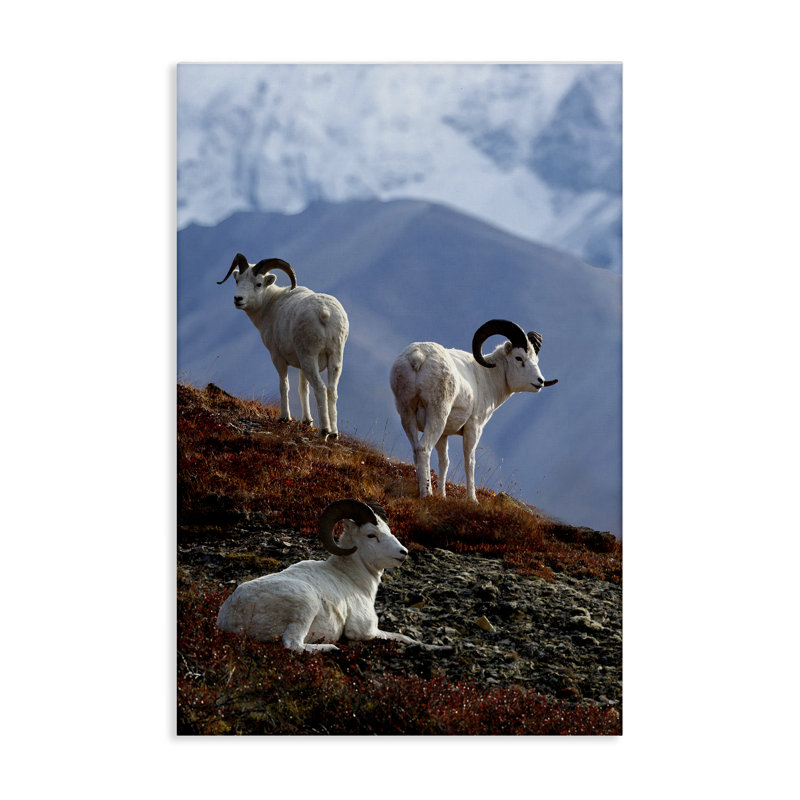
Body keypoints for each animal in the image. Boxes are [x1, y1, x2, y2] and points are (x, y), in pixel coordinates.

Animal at [216, 499, 427, 652]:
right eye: (371, 535)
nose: (403, 552)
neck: (353, 579)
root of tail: (233, 617)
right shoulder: (365, 630)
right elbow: (403, 636)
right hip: (306, 605)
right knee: (293, 645)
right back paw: (332, 648)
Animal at [218, 253, 348, 440]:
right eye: (238, 280)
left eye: (258, 284)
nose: (238, 299)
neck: (270, 306)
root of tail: (325, 313)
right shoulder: (301, 365)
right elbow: (303, 389)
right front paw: (307, 421)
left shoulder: (278, 357)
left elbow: (284, 386)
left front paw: (284, 418)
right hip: (334, 358)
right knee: (331, 390)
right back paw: (333, 434)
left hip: (310, 358)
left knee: (321, 388)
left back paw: (324, 432)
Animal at [390, 319, 558, 502]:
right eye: (519, 358)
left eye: (536, 360)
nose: (540, 381)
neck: (487, 377)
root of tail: (419, 357)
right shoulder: (473, 427)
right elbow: (469, 461)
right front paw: (472, 499)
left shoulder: (444, 435)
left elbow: (444, 462)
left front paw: (443, 496)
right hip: (437, 415)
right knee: (423, 449)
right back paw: (426, 494)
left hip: (407, 413)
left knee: (416, 449)